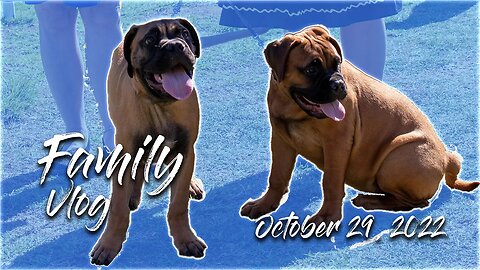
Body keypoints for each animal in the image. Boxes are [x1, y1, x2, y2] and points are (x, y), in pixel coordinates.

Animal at [91, 18, 207, 266]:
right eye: (150, 40)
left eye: (184, 34)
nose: (174, 46)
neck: (160, 107)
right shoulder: (125, 153)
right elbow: (117, 208)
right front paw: (109, 244)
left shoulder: (185, 151)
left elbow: (178, 204)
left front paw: (185, 238)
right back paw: (133, 194)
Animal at [242, 25, 478, 225]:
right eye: (311, 70)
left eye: (337, 62)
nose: (338, 85)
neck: (293, 108)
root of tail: (446, 158)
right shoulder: (281, 140)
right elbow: (277, 176)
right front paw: (264, 204)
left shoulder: (336, 144)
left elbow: (330, 182)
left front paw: (326, 217)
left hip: (396, 159)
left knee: (416, 202)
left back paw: (370, 200)